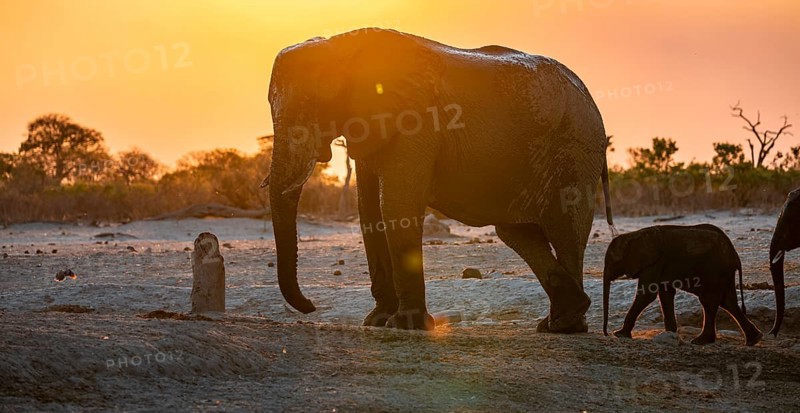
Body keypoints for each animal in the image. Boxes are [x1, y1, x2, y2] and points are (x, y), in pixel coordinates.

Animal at [266, 28, 614, 332]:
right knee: (516, 232)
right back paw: (563, 318)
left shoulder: (414, 123)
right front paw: (377, 322)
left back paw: (566, 326)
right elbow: (369, 211)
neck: (342, 45)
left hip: (574, 148)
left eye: (313, 104)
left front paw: (405, 326)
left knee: (565, 228)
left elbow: (396, 205)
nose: (310, 305)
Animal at [602, 224, 762, 346]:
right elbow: (665, 294)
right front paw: (670, 333)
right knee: (727, 302)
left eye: (611, 261)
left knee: (709, 301)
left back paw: (700, 341)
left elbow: (647, 294)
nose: (606, 333)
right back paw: (754, 340)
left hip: (715, 270)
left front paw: (619, 334)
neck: (633, 236)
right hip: (724, 273)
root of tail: (734, 254)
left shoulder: (654, 263)